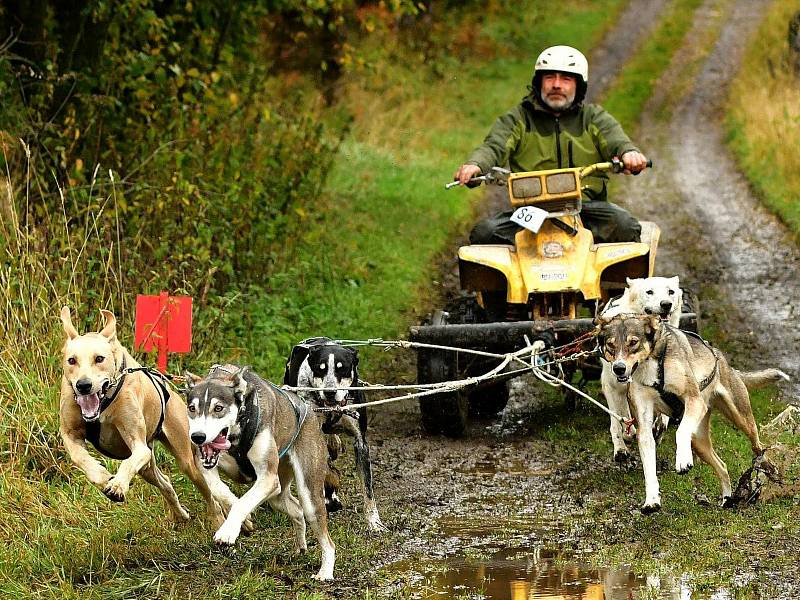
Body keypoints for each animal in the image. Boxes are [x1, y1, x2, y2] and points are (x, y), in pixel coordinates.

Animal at [58, 308, 225, 528]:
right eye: (72, 360)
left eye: (99, 358)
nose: (83, 385)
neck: (103, 405)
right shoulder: (70, 435)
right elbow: (80, 457)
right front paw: (103, 477)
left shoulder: (138, 445)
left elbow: (129, 462)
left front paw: (118, 485)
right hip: (148, 469)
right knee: (165, 483)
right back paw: (179, 514)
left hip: (186, 460)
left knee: (209, 493)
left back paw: (220, 519)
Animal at [286, 338, 386, 528]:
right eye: (320, 369)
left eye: (342, 368)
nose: (330, 392)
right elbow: (326, 470)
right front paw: (330, 493)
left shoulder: (361, 443)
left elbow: (367, 486)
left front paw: (373, 521)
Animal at [596, 312, 792, 512]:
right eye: (610, 345)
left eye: (633, 342)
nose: (618, 368)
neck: (652, 365)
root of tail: (721, 359)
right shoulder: (644, 426)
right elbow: (649, 469)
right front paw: (651, 500)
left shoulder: (694, 400)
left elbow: (680, 431)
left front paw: (682, 460)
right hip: (699, 440)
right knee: (722, 466)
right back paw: (727, 499)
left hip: (740, 418)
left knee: (758, 446)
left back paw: (768, 468)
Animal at [600, 276, 680, 460]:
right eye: (649, 291)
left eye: (671, 291)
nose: (666, 304)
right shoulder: (613, 386)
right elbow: (618, 422)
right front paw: (621, 446)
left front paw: (659, 426)